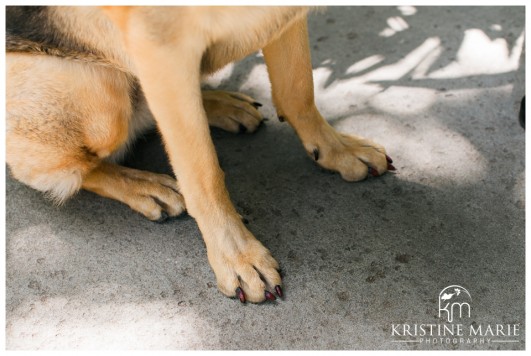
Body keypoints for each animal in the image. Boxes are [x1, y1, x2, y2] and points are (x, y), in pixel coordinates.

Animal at [5, 6, 394, 304]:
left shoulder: (284, 17)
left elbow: (297, 89)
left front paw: (337, 149)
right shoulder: (160, 47)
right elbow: (203, 172)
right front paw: (237, 255)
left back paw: (220, 104)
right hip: (100, 100)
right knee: (73, 166)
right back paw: (143, 185)